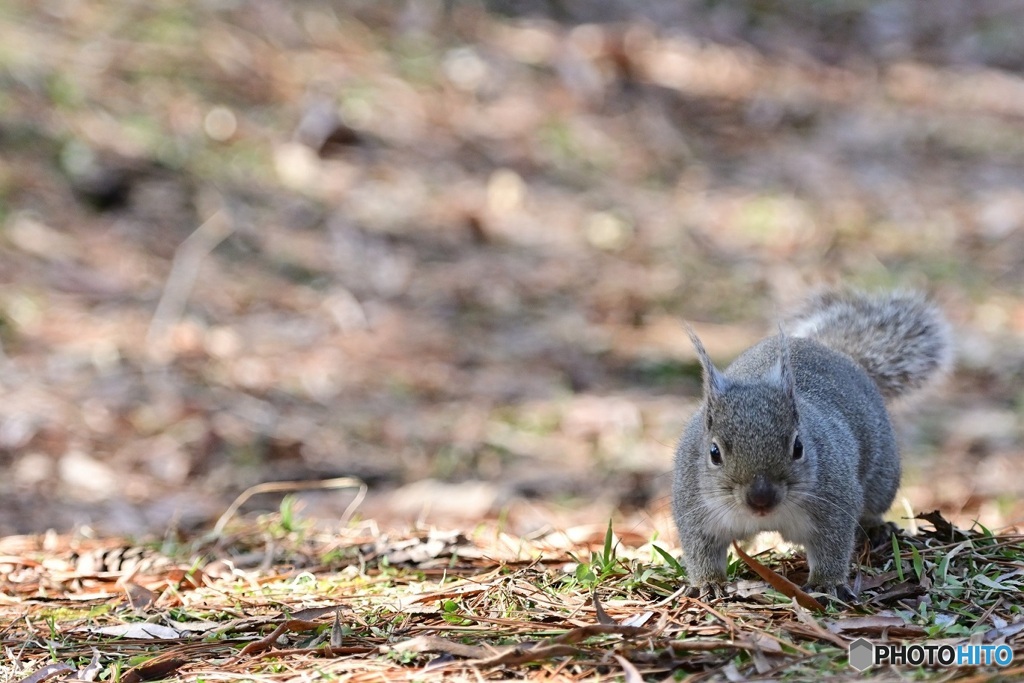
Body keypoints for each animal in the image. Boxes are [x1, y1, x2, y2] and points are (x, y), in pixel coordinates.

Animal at [671, 288, 950, 598]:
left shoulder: (835, 503)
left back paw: (876, 527)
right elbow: (701, 550)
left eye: (798, 447)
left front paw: (826, 583)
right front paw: (708, 582)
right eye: (714, 452)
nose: (760, 500)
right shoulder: (695, 508)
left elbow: (833, 547)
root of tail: (833, 352)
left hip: (882, 478)